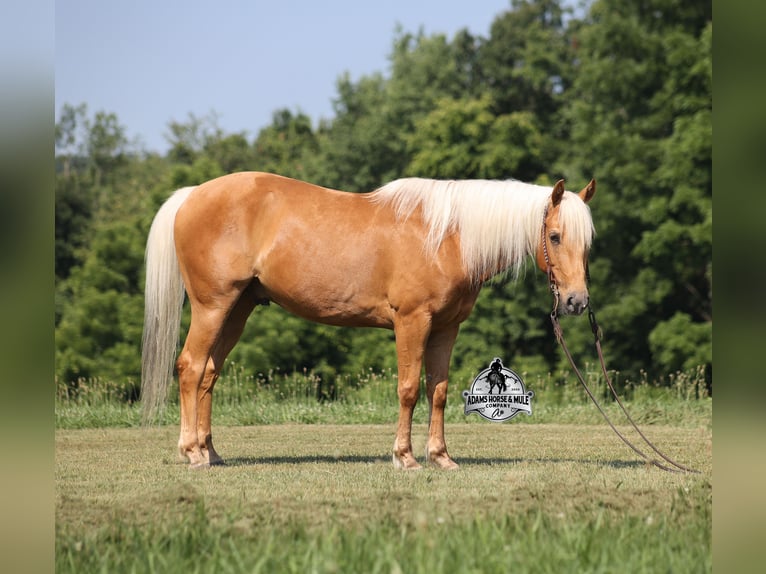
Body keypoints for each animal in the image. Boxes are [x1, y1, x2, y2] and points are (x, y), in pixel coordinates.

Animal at [141, 172, 596, 470]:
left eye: (588, 242)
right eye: (555, 236)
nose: (576, 302)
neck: (447, 236)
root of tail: (191, 195)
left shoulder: (446, 328)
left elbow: (439, 392)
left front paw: (441, 457)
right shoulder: (412, 321)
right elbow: (409, 390)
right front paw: (405, 458)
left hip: (237, 310)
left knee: (209, 374)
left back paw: (211, 451)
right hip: (212, 307)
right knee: (190, 368)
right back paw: (192, 452)